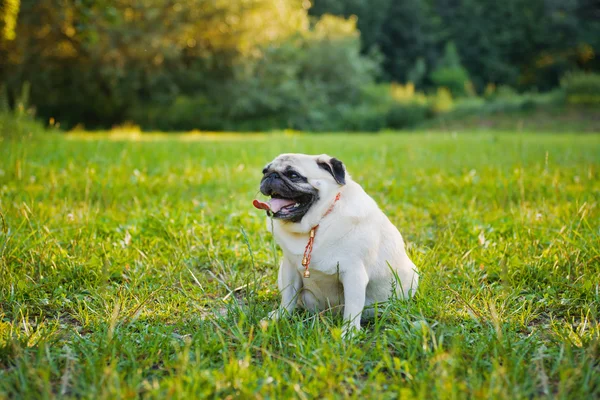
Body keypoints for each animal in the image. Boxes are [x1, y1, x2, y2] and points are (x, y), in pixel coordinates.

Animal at [253, 153, 418, 334]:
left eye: (293, 175)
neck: (316, 224)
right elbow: (288, 297)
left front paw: (349, 333)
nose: (271, 176)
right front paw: (280, 316)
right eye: (265, 171)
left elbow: (353, 308)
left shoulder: (354, 273)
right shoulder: (290, 268)